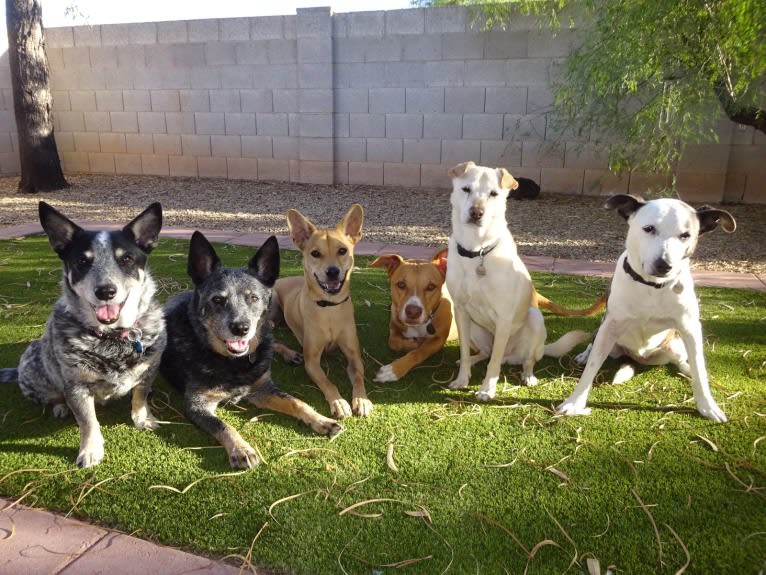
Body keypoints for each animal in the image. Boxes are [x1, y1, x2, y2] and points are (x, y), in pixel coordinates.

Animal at [0, 202, 167, 468]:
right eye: (81, 260)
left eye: (126, 258)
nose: (106, 291)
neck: (112, 337)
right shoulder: (77, 386)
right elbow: (88, 421)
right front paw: (90, 449)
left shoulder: (148, 369)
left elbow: (140, 396)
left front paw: (142, 418)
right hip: (34, 366)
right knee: (54, 396)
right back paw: (60, 407)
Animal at [160, 232, 342, 470]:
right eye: (217, 299)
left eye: (254, 298)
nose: (241, 328)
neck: (232, 362)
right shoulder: (197, 404)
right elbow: (223, 425)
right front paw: (241, 449)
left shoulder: (262, 388)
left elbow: (297, 402)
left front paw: (322, 420)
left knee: (270, 340)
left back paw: (289, 353)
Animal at [272, 205, 376, 420]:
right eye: (315, 253)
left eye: (342, 250)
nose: (332, 271)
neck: (330, 309)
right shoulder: (311, 361)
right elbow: (328, 382)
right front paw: (339, 402)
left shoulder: (354, 355)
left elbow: (359, 377)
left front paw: (361, 400)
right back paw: (290, 354)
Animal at [370, 249, 460, 380]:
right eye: (401, 284)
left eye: (431, 286)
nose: (413, 312)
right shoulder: (394, 328)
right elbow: (393, 342)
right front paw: (414, 342)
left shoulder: (438, 339)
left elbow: (419, 352)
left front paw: (393, 370)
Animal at [560, 195, 736, 424]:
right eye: (649, 228)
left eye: (685, 235)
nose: (664, 265)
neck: (652, 285)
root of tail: (637, 358)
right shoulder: (610, 325)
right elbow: (592, 367)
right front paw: (575, 402)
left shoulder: (690, 329)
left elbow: (700, 368)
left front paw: (707, 406)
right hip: (604, 332)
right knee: (593, 345)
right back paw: (584, 354)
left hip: (675, 345)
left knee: (681, 361)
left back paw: (686, 368)